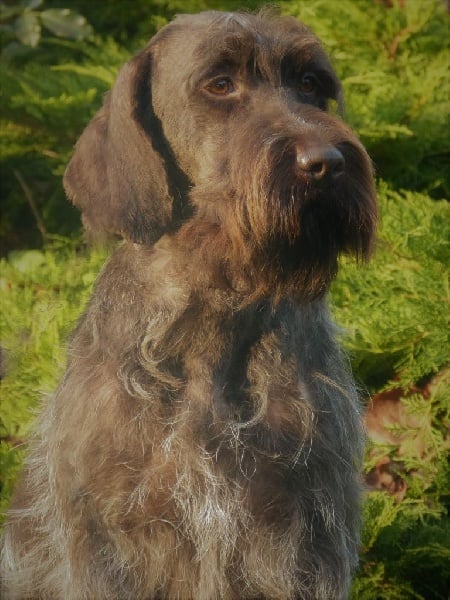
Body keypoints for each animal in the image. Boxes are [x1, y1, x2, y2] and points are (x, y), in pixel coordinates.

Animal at [1, 10, 377, 599]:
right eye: (220, 84)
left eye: (311, 84)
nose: (327, 162)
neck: (214, 318)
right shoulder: (110, 546)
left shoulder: (308, 536)